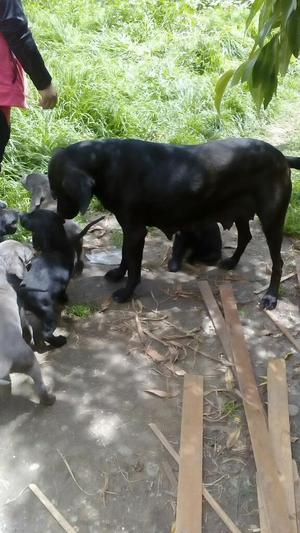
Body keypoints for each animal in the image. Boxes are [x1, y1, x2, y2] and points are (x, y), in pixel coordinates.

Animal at [18, 210, 104, 348]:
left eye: (32, 214)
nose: (20, 215)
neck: (57, 245)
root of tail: (24, 292)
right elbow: (63, 290)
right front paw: (64, 299)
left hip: (23, 315)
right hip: (48, 313)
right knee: (46, 334)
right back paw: (60, 341)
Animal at [47, 137, 300, 310]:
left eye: (58, 192)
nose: (59, 214)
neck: (107, 162)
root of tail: (280, 156)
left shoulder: (135, 231)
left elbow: (134, 265)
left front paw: (127, 292)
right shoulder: (128, 229)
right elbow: (125, 256)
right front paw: (119, 273)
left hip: (272, 220)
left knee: (278, 262)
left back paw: (271, 296)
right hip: (239, 212)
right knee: (246, 237)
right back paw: (232, 262)